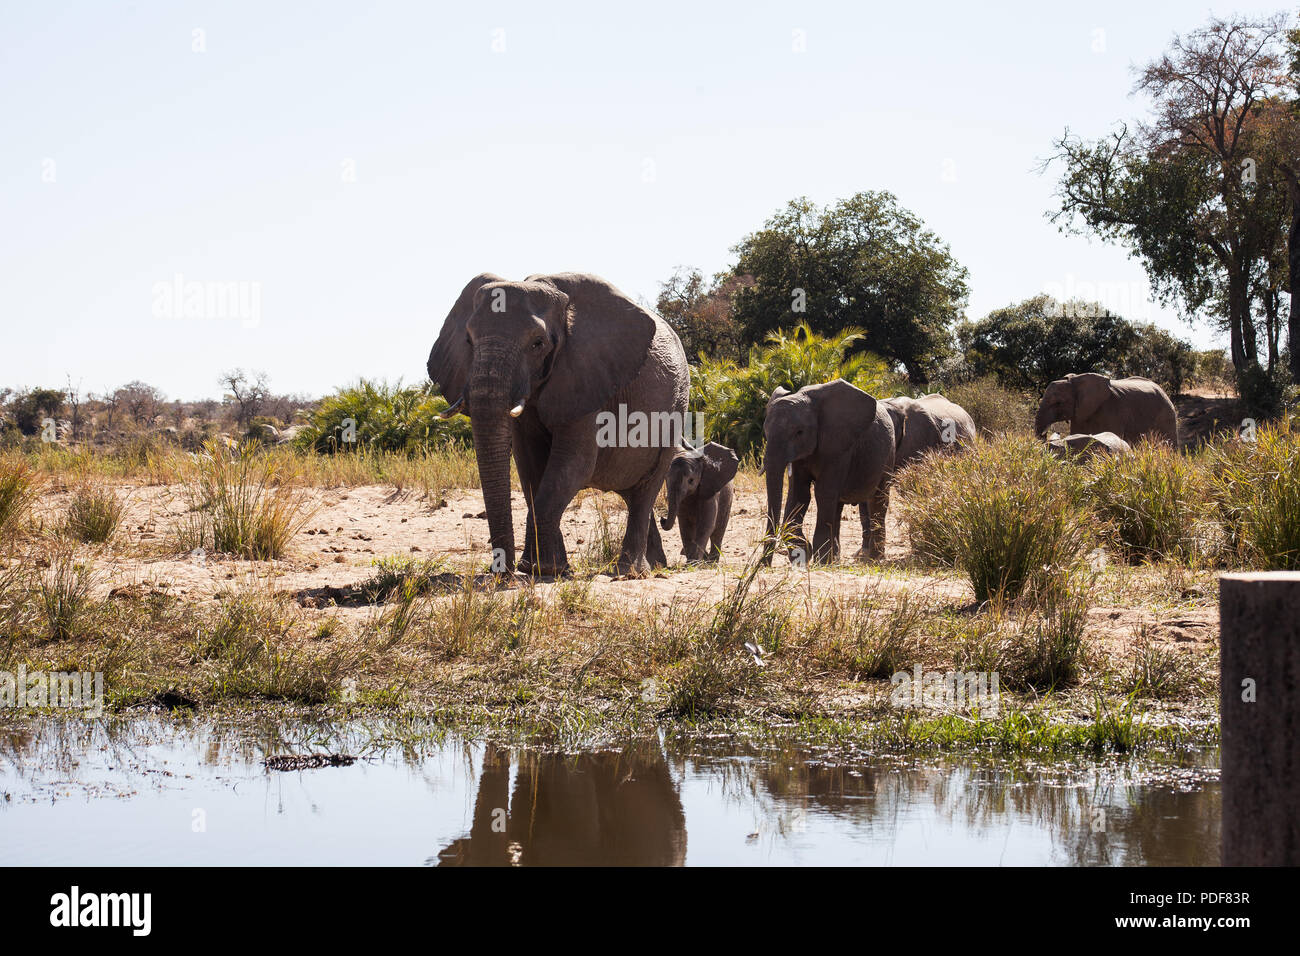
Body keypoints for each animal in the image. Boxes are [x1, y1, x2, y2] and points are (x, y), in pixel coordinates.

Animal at [427, 273, 690, 576]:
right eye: (468, 341)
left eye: (538, 343)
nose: (502, 572)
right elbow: (529, 465)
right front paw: (544, 568)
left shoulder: (586, 377)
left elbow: (573, 464)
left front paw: (543, 569)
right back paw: (655, 565)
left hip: (676, 408)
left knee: (646, 490)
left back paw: (629, 571)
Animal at [761, 379, 896, 564]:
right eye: (765, 432)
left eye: (799, 432)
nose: (764, 565)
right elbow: (798, 494)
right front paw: (805, 553)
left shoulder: (839, 448)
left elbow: (823, 492)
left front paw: (816, 557)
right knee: (837, 506)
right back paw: (835, 560)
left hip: (888, 456)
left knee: (878, 501)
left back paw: (874, 560)